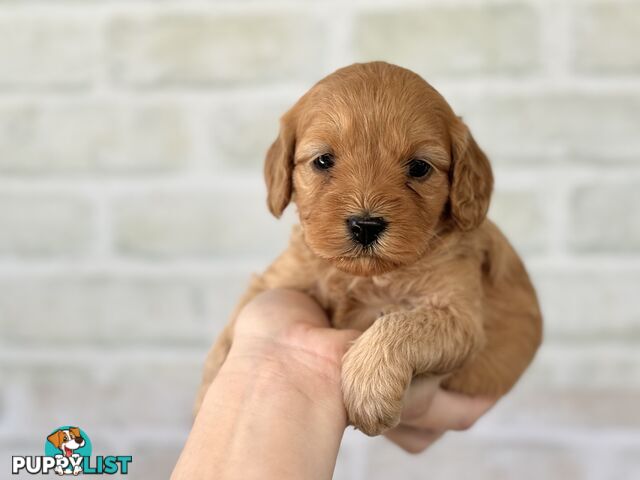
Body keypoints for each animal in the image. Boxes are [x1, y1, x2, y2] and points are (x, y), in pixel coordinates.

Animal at [195, 60, 540, 436]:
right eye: (323, 161)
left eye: (419, 167)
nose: (365, 226)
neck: (363, 276)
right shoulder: (280, 278)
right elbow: (236, 321)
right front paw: (209, 393)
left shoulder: (459, 315)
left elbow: (398, 323)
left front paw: (368, 388)